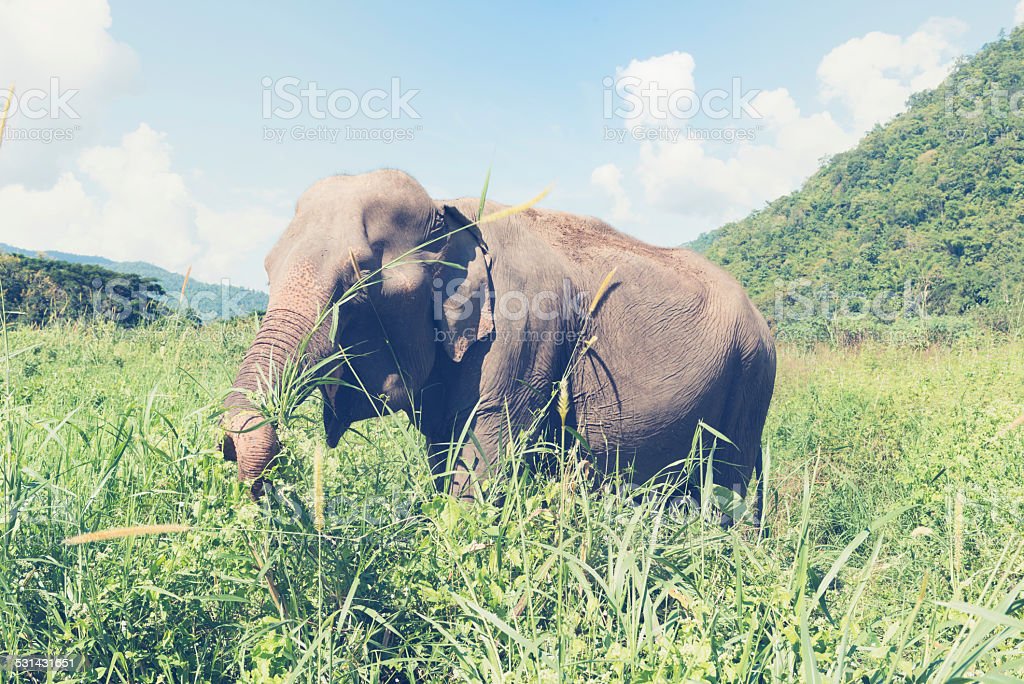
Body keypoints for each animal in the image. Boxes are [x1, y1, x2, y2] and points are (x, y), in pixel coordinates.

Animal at [222, 169, 774, 509]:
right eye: (267, 268)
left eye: (358, 282)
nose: (228, 445)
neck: (446, 209)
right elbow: (444, 450)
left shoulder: (525, 329)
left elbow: (484, 450)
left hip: (752, 378)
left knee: (731, 482)